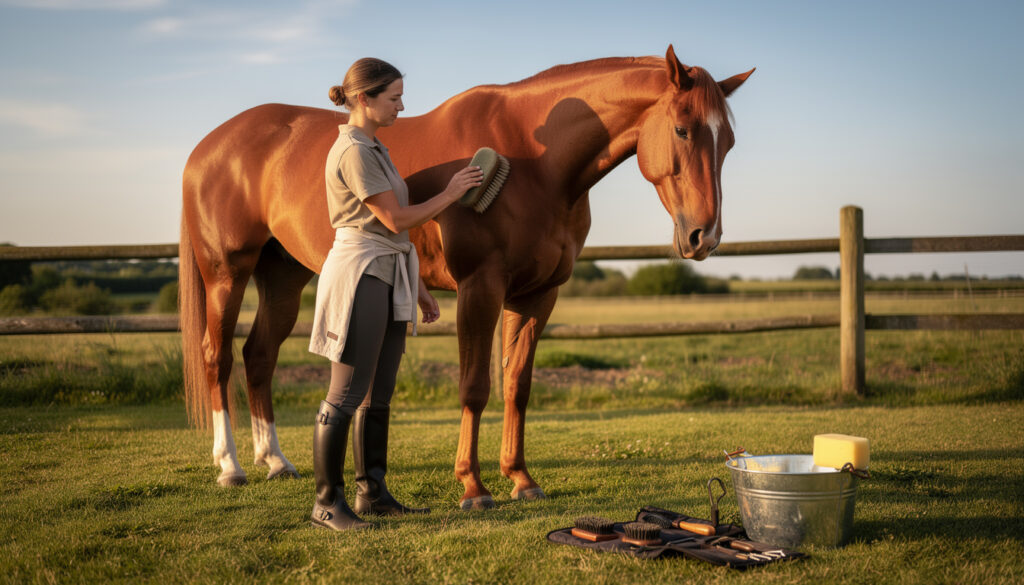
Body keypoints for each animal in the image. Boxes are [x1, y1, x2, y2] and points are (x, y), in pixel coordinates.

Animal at [180, 45, 753, 509]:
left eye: (727, 143)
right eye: (682, 129)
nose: (704, 237)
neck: (534, 156)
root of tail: (208, 146)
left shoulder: (537, 295)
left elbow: (517, 386)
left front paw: (521, 479)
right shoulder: (481, 288)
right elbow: (475, 387)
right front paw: (473, 487)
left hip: (283, 277)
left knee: (259, 355)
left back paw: (275, 461)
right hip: (226, 273)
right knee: (217, 356)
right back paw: (230, 466)